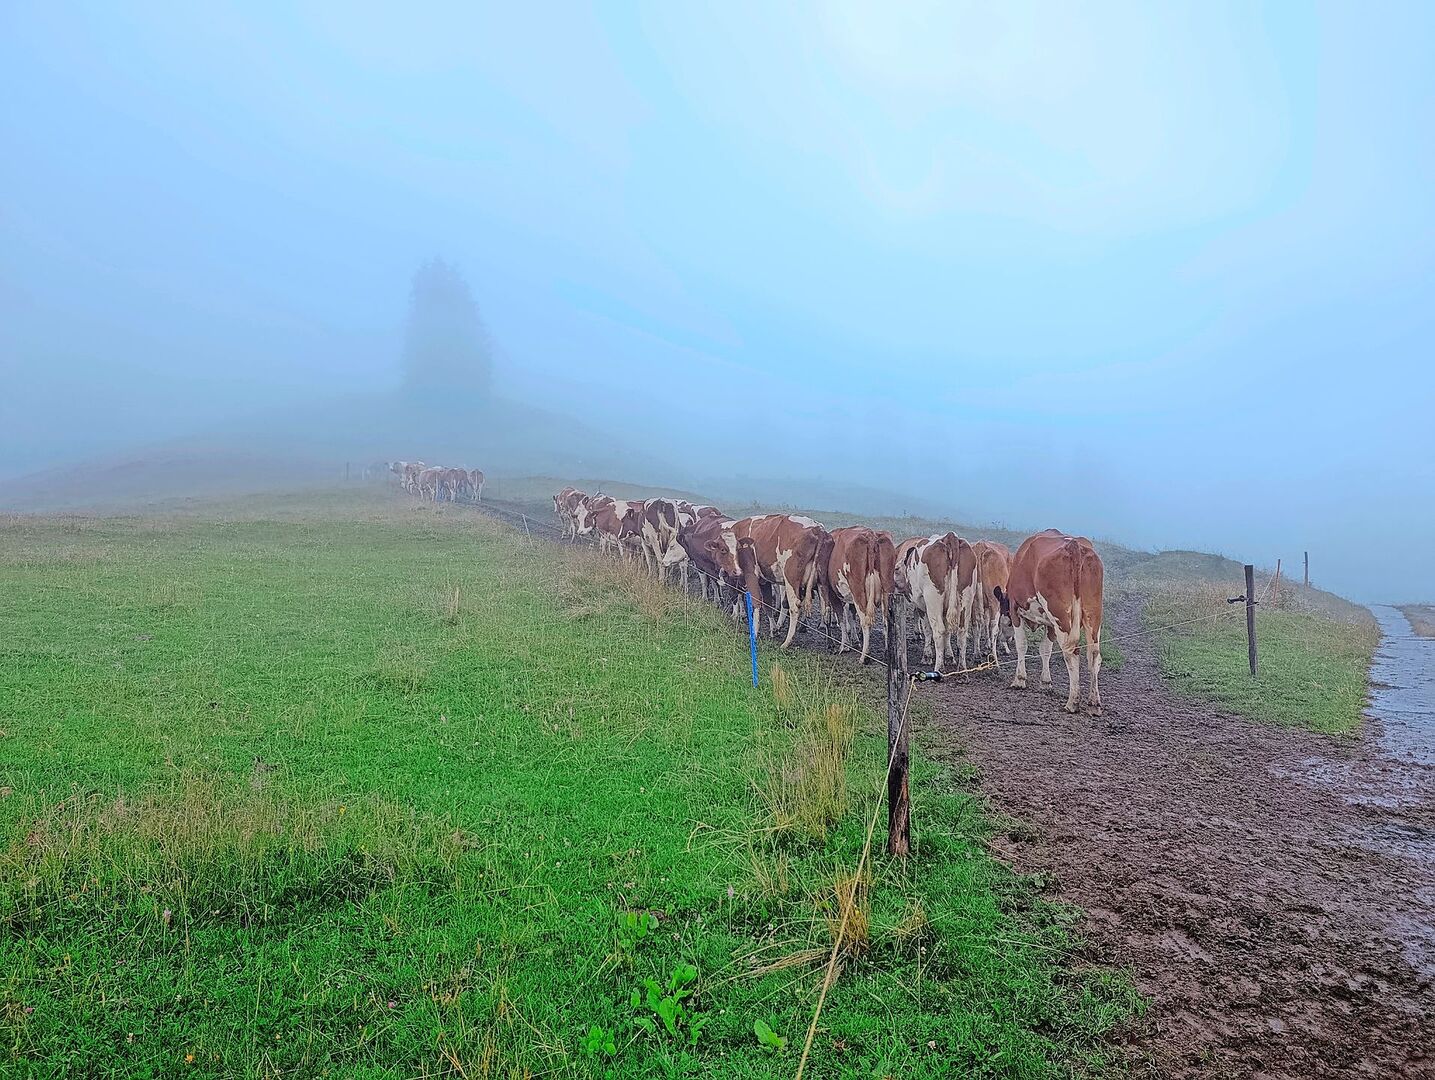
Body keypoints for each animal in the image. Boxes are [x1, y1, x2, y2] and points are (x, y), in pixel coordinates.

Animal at [819, 526, 896, 665]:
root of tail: (871, 536)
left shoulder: (833, 593)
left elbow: (840, 618)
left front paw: (843, 646)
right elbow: (851, 616)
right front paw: (853, 641)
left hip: (858, 590)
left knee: (865, 620)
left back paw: (864, 656)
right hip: (887, 590)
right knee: (887, 621)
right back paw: (887, 654)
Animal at [893, 532, 976, 672]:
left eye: (896, 569)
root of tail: (949, 537)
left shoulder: (921, 604)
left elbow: (927, 630)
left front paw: (927, 657)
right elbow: (948, 633)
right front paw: (949, 657)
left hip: (933, 600)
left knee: (938, 631)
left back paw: (939, 668)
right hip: (966, 599)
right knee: (961, 632)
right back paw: (962, 669)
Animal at [994, 529, 1105, 715]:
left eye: (1004, 614)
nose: (1003, 638)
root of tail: (1074, 546)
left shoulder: (1016, 610)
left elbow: (1022, 645)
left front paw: (1019, 679)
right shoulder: (1050, 625)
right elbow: (1045, 649)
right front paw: (1046, 682)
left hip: (1061, 616)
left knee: (1071, 652)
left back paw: (1073, 702)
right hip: (1093, 614)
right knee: (1094, 654)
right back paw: (1094, 703)